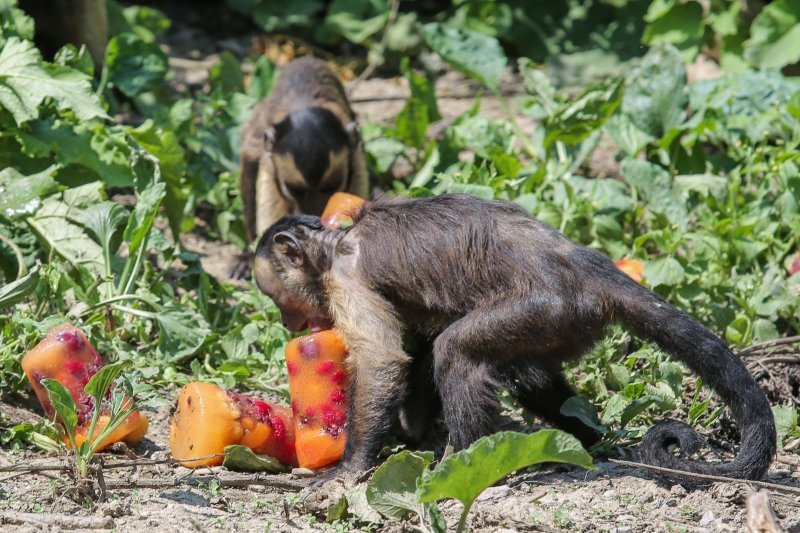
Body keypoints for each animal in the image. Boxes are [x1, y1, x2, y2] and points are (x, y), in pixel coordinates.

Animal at [255, 192, 776, 478]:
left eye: (278, 298)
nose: (289, 323)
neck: (336, 242)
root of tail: (587, 264)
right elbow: (415, 348)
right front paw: (411, 429)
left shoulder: (344, 277)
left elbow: (384, 358)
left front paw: (350, 467)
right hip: (563, 321)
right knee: (527, 374)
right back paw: (590, 440)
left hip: (549, 304)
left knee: (457, 351)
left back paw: (462, 463)